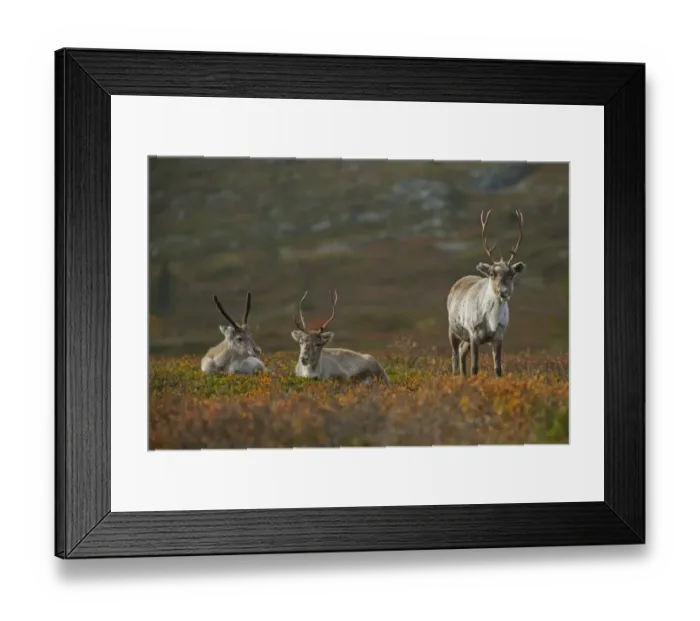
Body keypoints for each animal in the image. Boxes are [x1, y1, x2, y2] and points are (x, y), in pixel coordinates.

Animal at [446, 209, 526, 378]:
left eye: (512, 274)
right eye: (492, 274)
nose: (504, 292)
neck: (491, 319)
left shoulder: (499, 337)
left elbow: (498, 369)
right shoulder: (474, 334)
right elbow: (475, 367)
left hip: (465, 338)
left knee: (462, 351)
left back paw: (463, 377)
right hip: (453, 330)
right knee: (455, 355)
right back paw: (456, 375)